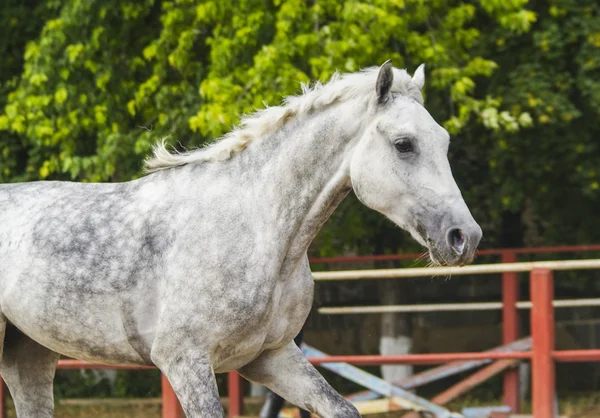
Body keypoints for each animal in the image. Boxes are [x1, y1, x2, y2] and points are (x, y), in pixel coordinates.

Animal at [0, 62, 480, 418]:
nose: (465, 238)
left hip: (29, 357)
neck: (258, 230)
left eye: (444, 141)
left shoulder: (269, 356)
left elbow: (342, 408)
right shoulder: (185, 361)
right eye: (404, 144)